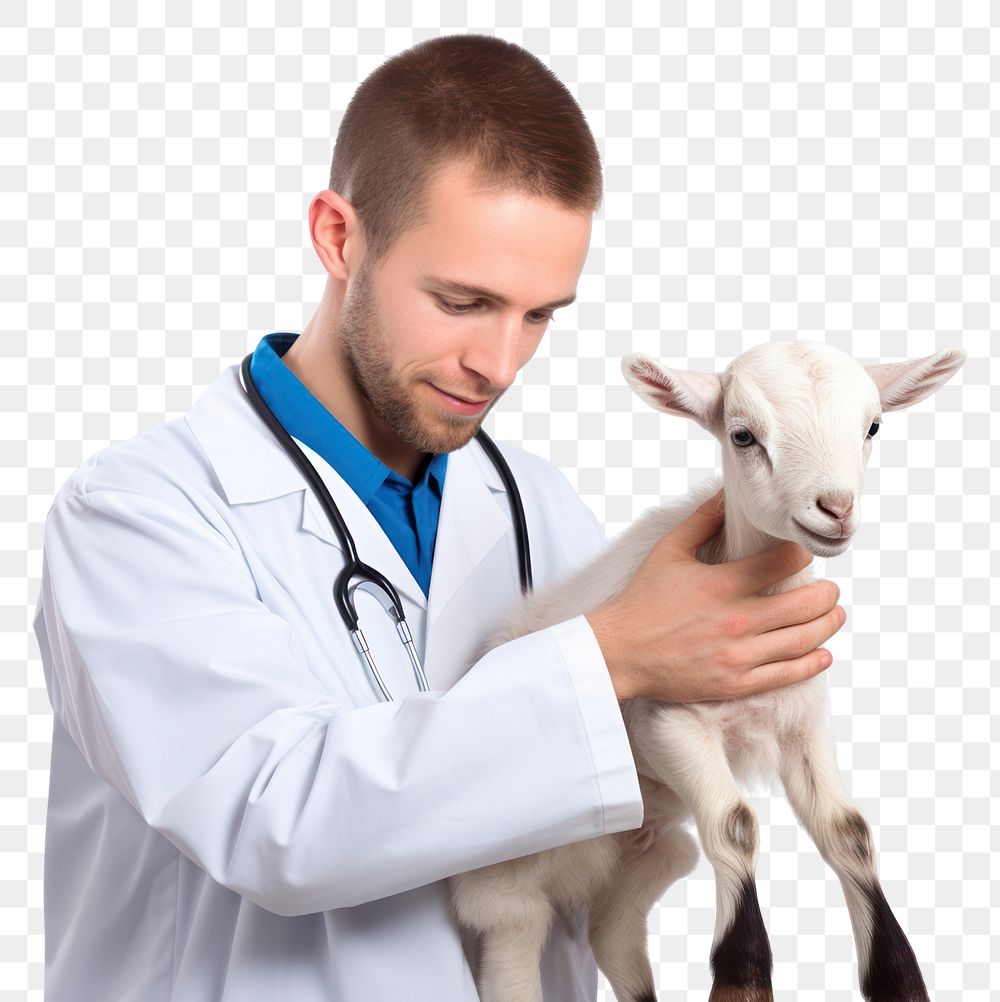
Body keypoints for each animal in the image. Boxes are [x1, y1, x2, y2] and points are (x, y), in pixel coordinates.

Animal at [450, 342, 965, 1002]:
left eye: (872, 426)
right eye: (743, 436)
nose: (836, 509)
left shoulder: (803, 724)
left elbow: (849, 831)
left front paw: (899, 977)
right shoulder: (669, 722)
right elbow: (736, 825)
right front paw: (742, 975)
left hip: (647, 850)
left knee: (614, 927)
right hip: (511, 874)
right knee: (514, 934)